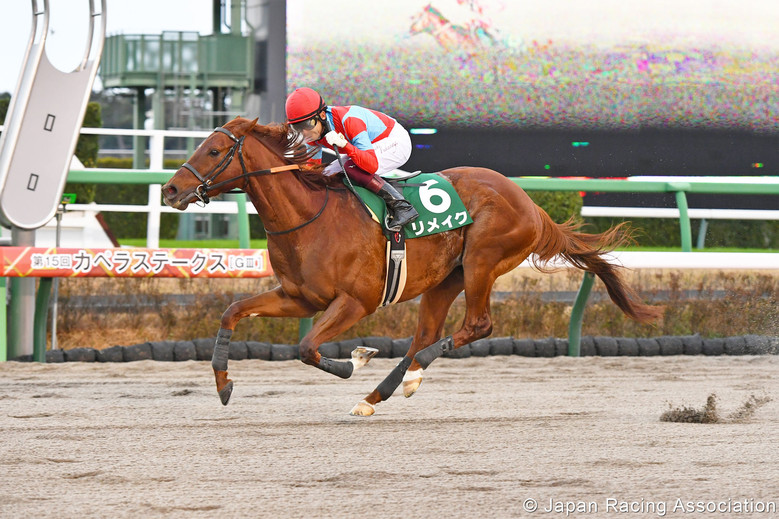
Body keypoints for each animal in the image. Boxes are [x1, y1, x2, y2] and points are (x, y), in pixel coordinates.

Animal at [162, 117, 662, 416]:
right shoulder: (298, 297)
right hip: (444, 279)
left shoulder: (356, 302)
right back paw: (378, 395)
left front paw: (354, 361)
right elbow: (232, 312)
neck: (309, 217)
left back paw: (407, 375)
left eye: (213, 151)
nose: (170, 190)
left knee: (476, 325)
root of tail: (531, 204)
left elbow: (307, 348)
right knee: (426, 334)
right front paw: (223, 384)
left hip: (482, 261)